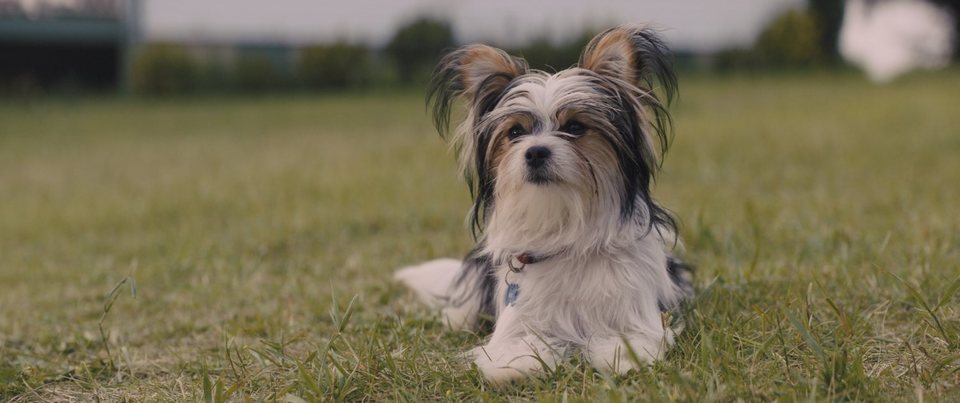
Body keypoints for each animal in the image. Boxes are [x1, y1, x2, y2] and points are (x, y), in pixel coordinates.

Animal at [394, 25, 692, 386]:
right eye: (515, 132)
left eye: (575, 127)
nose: (535, 152)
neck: (564, 227)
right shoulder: (518, 319)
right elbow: (522, 343)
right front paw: (518, 364)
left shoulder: (636, 311)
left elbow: (630, 337)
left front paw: (621, 357)